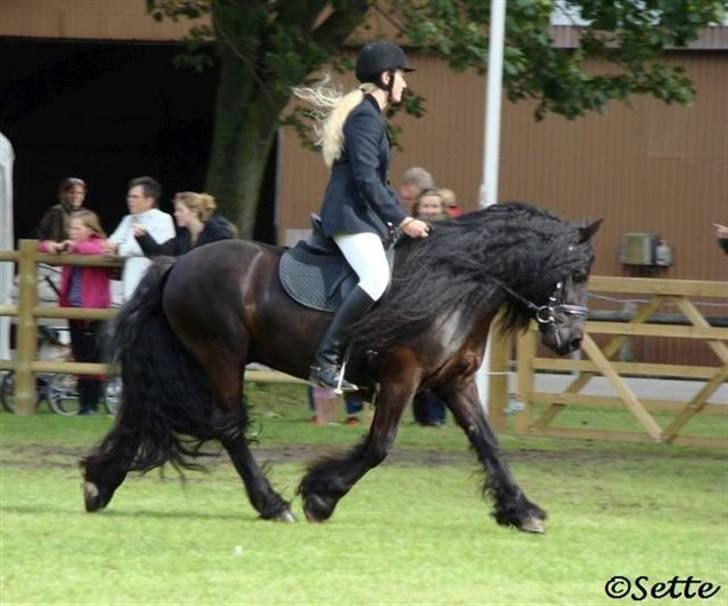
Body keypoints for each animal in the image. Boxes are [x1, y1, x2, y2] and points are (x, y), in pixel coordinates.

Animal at [81, 201, 601, 533]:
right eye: (575, 272)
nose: (573, 340)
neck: (456, 283)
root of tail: (179, 262)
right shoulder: (402, 376)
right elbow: (378, 446)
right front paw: (319, 495)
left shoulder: (454, 382)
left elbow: (488, 442)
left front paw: (522, 510)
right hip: (220, 355)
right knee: (227, 427)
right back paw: (273, 505)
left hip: (194, 359)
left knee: (145, 413)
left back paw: (99, 482)